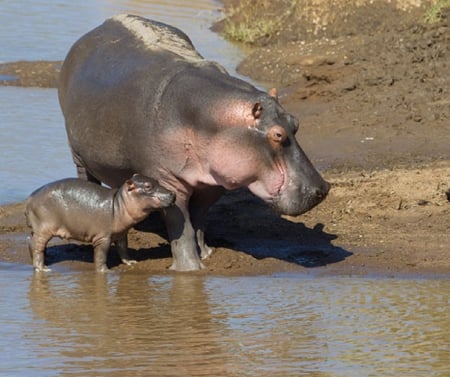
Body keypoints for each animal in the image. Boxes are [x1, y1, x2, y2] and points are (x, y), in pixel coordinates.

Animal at [23, 175, 176, 272]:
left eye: (156, 180)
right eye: (148, 186)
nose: (173, 193)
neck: (119, 204)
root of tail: (30, 197)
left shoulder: (122, 233)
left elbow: (123, 249)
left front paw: (131, 262)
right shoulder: (103, 237)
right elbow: (101, 255)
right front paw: (104, 271)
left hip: (38, 229)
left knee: (33, 244)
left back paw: (46, 259)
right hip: (44, 229)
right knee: (36, 245)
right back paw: (43, 268)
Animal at [58, 14, 328, 270]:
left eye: (295, 122)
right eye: (277, 135)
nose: (323, 188)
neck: (212, 119)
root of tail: (89, 36)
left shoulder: (213, 183)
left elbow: (198, 218)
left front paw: (207, 253)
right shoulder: (168, 180)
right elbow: (182, 225)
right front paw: (190, 268)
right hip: (78, 155)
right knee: (87, 179)